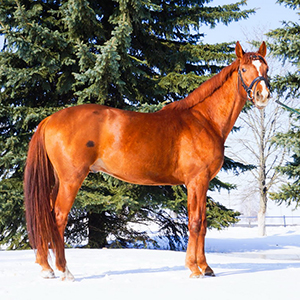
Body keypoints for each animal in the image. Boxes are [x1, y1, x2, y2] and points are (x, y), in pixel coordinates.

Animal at [24, 41, 270, 280]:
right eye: (244, 69)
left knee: (45, 216)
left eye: (266, 69)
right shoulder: (196, 181)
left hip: (57, 181)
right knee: (58, 217)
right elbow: (195, 222)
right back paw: (64, 270)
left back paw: (46, 268)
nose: (263, 95)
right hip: (71, 180)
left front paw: (206, 267)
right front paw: (194, 269)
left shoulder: (203, 182)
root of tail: (50, 119)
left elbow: (203, 224)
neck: (204, 120)